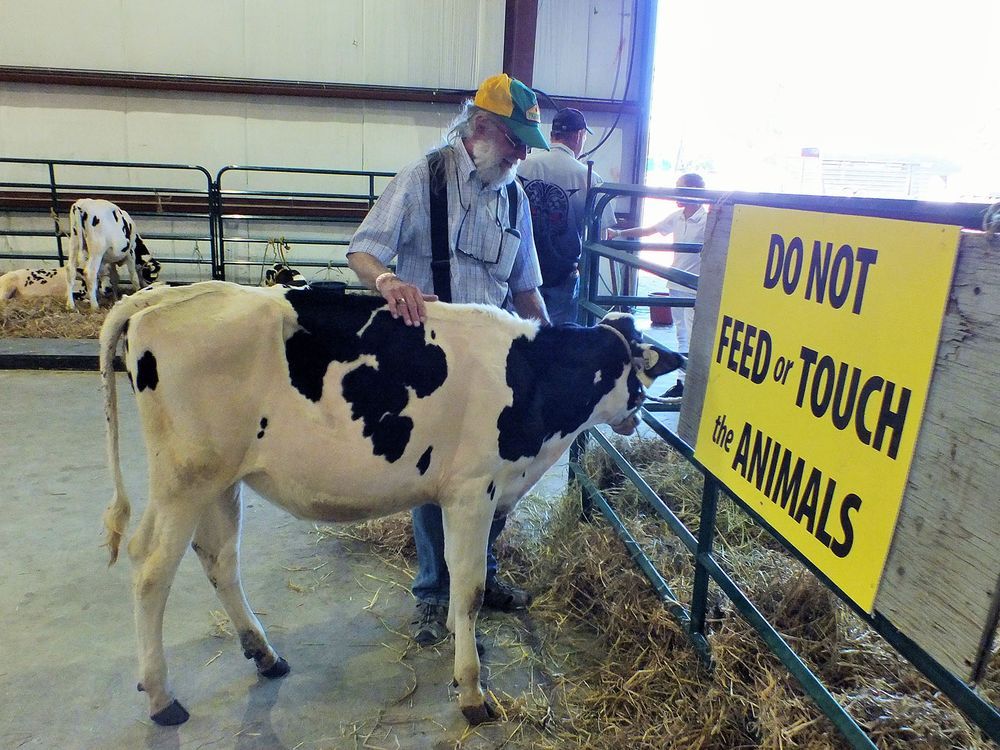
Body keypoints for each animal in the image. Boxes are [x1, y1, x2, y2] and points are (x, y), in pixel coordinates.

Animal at [99, 282, 680, 728]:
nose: (640, 414)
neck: (531, 377)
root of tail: (162, 296)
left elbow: (461, 587)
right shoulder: (473, 490)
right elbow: (469, 587)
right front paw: (472, 692)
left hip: (220, 481)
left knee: (220, 559)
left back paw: (265, 656)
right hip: (184, 479)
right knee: (150, 568)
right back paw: (162, 697)